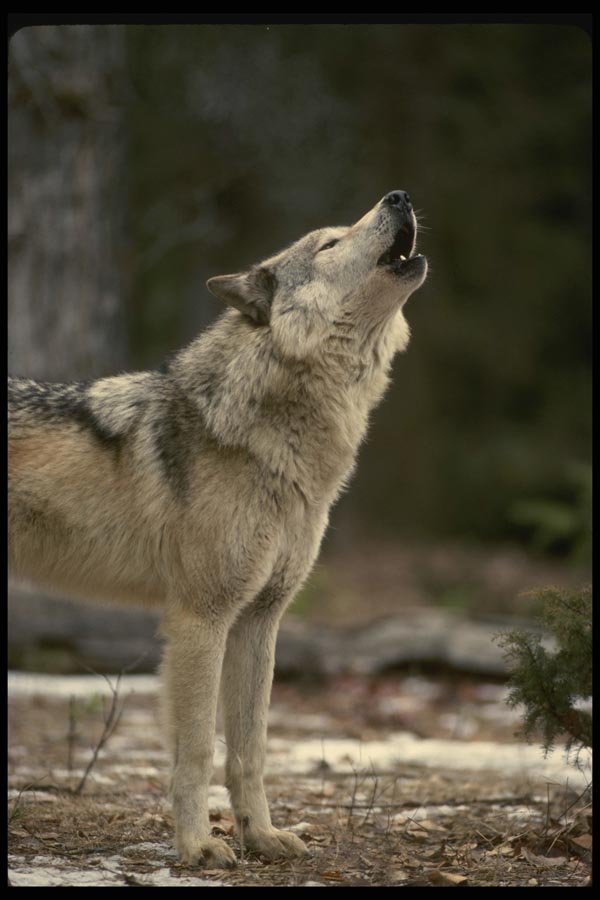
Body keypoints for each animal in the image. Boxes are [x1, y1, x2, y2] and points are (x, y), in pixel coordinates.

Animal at [8, 190, 427, 867]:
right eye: (330, 243)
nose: (399, 196)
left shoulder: (259, 620)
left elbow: (251, 749)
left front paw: (261, 836)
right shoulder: (199, 619)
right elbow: (199, 749)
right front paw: (198, 848)